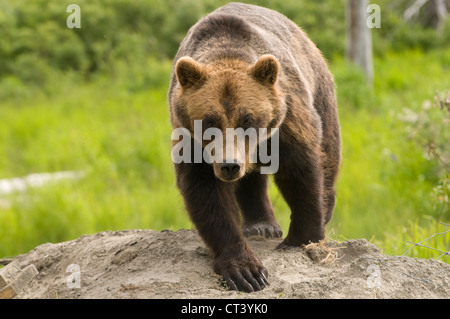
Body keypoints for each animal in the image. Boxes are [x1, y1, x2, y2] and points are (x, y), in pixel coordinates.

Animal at [168, 2, 342, 292]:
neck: (227, 51)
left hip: (319, 89)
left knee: (328, 148)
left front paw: (302, 237)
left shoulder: (286, 118)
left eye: (247, 119)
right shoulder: (191, 139)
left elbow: (300, 169)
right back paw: (261, 225)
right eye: (209, 121)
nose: (230, 165)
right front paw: (246, 272)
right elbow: (206, 193)